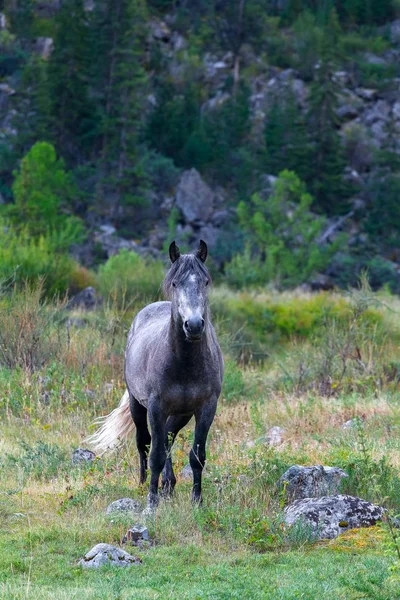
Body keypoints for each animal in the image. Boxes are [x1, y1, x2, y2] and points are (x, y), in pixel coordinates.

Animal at [88, 241, 223, 508]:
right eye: (175, 283)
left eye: (205, 281)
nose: (194, 325)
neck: (184, 364)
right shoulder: (156, 407)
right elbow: (155, 455)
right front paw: (152, 501)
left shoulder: (206, 408)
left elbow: (197, 455)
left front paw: (197, 501)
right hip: (137, 406)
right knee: (144, 442)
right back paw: (144, 485)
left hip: (181, 414)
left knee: (168, 437)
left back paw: (168, 485)